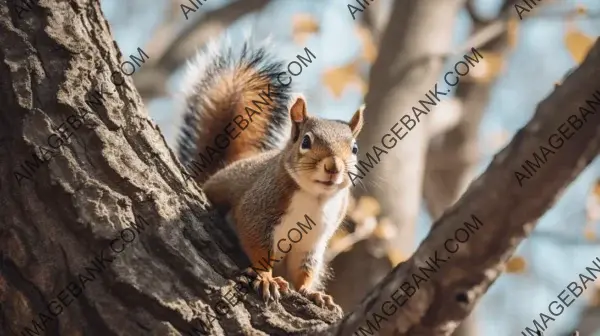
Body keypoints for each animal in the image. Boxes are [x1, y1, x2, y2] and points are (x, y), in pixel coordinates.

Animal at [176, 41, 364, 310]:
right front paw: (266, 278)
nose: (333, 167)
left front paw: (311, 292)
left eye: (355, 149)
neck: (315, 197)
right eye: (305, 141)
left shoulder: (313, 241)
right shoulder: (257, 210)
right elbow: (257, 243)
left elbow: (304, 268)